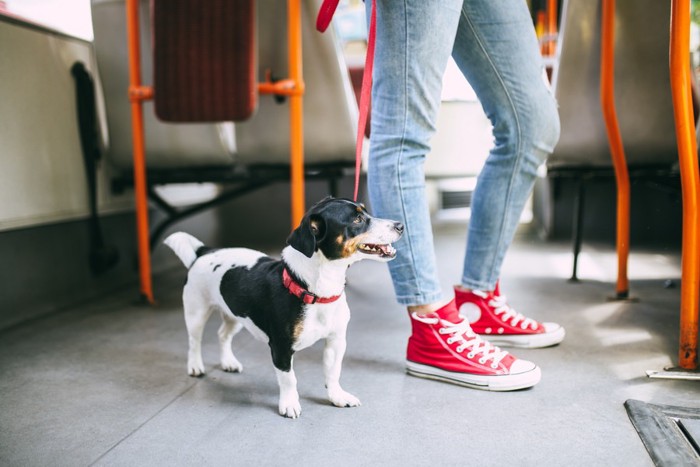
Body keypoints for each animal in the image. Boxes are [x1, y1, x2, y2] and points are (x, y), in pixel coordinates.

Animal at [164, 198, 402, 420]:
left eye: (365, 212)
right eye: (357, 220)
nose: (400, 225)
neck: (316, 291)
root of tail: (204, 252)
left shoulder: (336, 340)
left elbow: (333, 372)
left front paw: (337, 396)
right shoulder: (281, 348)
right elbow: (289, 379)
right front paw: (289, 404)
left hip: (236, 315)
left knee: (223, 334)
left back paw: (228, 362)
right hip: (196, 312)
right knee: (194, 341)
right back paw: (195, 366)